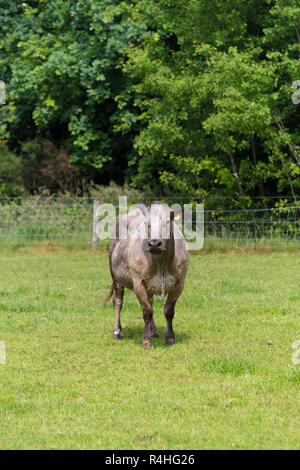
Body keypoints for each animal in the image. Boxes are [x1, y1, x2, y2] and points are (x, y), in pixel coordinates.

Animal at [102, 201, 189, 348]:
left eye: (168, 221)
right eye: (146, 223)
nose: (154, 243)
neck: (161, 263)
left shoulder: (180, 282)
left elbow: (168, 311)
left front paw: (170, 339)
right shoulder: (138, 282)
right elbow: (147, 312)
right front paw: (146, 341)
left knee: (150, 301)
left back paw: (153, 331)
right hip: (115, 276)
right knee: (118, 302)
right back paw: (117, 332)